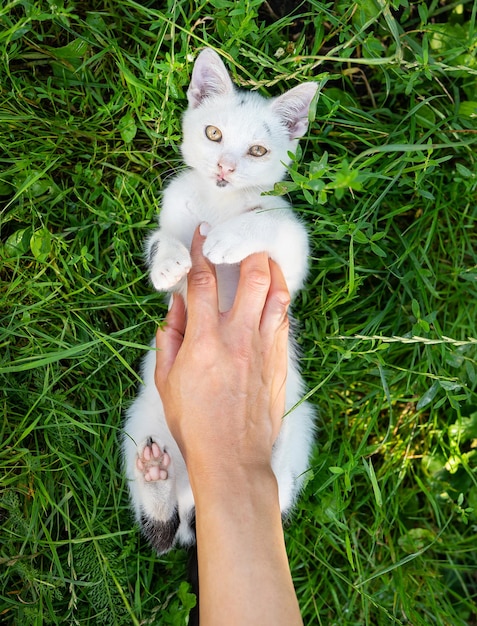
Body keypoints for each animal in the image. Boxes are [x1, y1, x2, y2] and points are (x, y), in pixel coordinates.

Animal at [122, 51, 316, 552]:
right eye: (214, 134)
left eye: (257, 151)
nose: (226, 168)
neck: (219, 203)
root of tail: (197, 503)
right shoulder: (174, 210)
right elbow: (160, 241)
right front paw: (169, 261)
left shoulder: (291, 256)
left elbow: (276, 226)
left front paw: (230, 239)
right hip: (140, 420)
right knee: (162, 534)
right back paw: (155, 480)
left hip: (298, 426)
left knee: (274, 498)